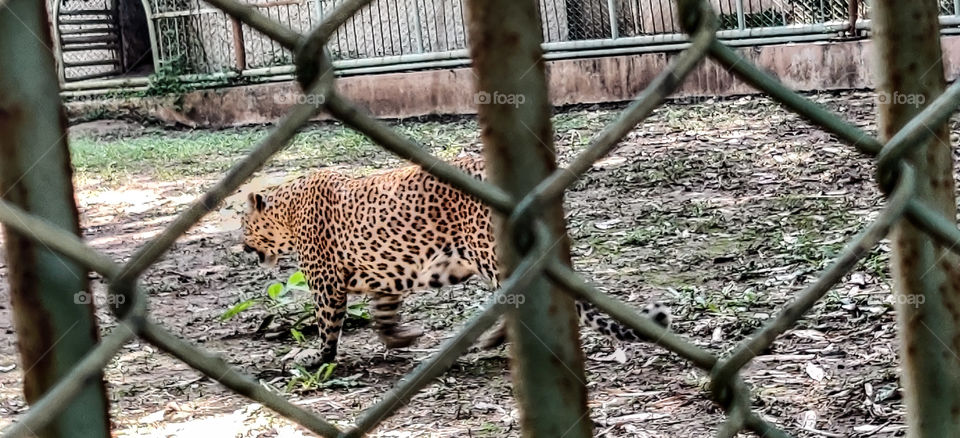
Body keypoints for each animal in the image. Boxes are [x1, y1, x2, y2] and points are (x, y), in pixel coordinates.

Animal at [240, 154, 671, 368]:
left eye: (243, 223)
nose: (241, 247)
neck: (287, 210)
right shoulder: (385, 275)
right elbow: (383, 313)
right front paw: (400, 338)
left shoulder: (326, 283)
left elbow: (328, 324)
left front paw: (318, 358)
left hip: (490, 254)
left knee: (516, 297)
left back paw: (492, 339)